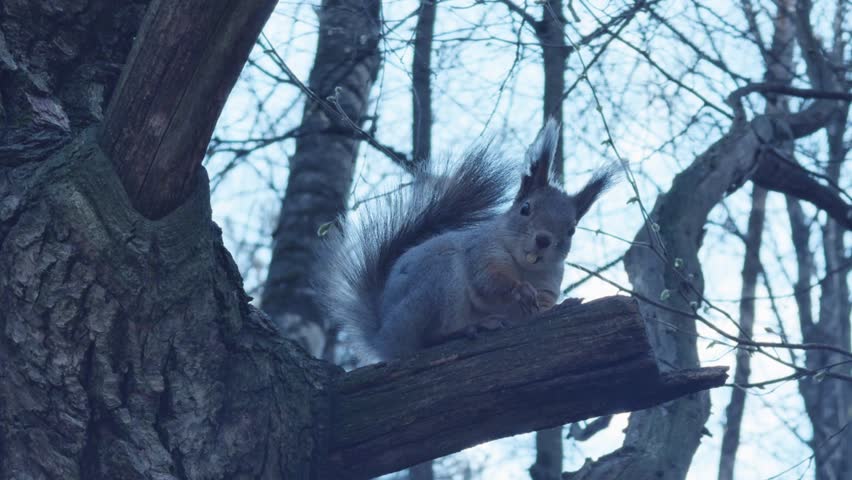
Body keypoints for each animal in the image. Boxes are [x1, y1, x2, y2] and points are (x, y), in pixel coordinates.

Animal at [317, 119, 617, 361]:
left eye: (572, 230)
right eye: (526, 209)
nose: (543, 240)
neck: (524, 267)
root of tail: (384, 338)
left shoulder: (549, 281)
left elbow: (542, 305)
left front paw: (556, 306)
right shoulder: (481, 251)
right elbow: (489, 281)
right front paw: (519, 290)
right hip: (436, 283)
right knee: (430, 338)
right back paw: (470, 328)